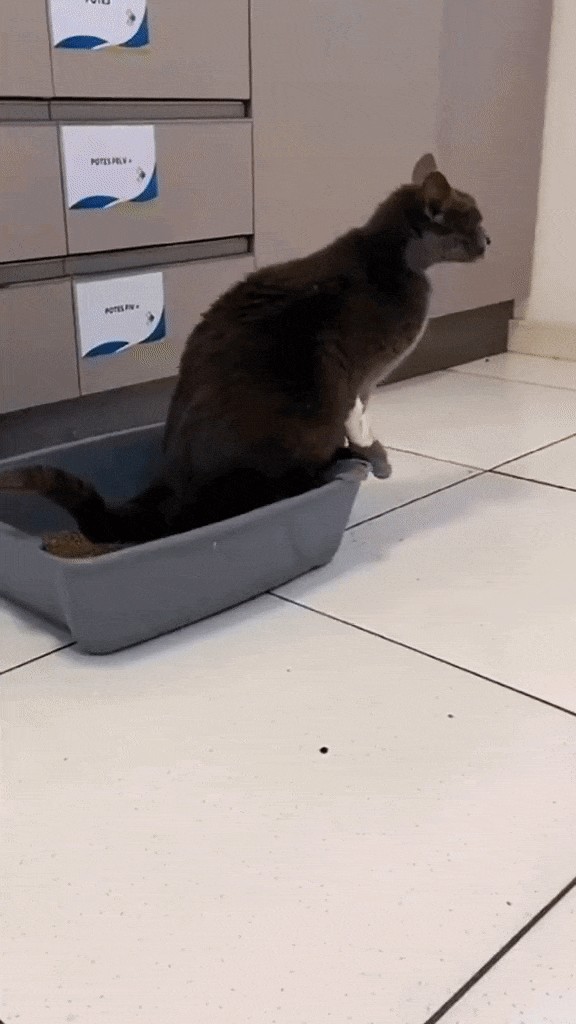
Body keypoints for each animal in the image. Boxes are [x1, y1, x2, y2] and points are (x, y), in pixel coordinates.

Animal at [0, 155, 489, 545]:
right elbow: (359, 420)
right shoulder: (357, 377)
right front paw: (377, 458)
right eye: (476, 221)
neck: (400, 261)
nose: (490, 241)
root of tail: (173, 484)